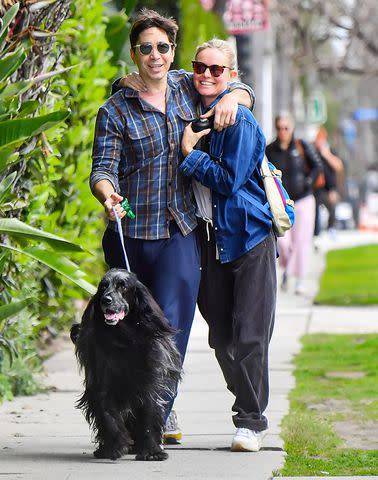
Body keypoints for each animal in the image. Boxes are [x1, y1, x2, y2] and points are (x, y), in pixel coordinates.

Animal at [72, 270, 183, 462]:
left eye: (123, 286)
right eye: (103, 286)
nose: (106, 300)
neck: (122, 338)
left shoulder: (148, 383)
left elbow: (148, 414)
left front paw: (152, 451)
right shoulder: (101, 384)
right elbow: (107, 415)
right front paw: (114, 446)